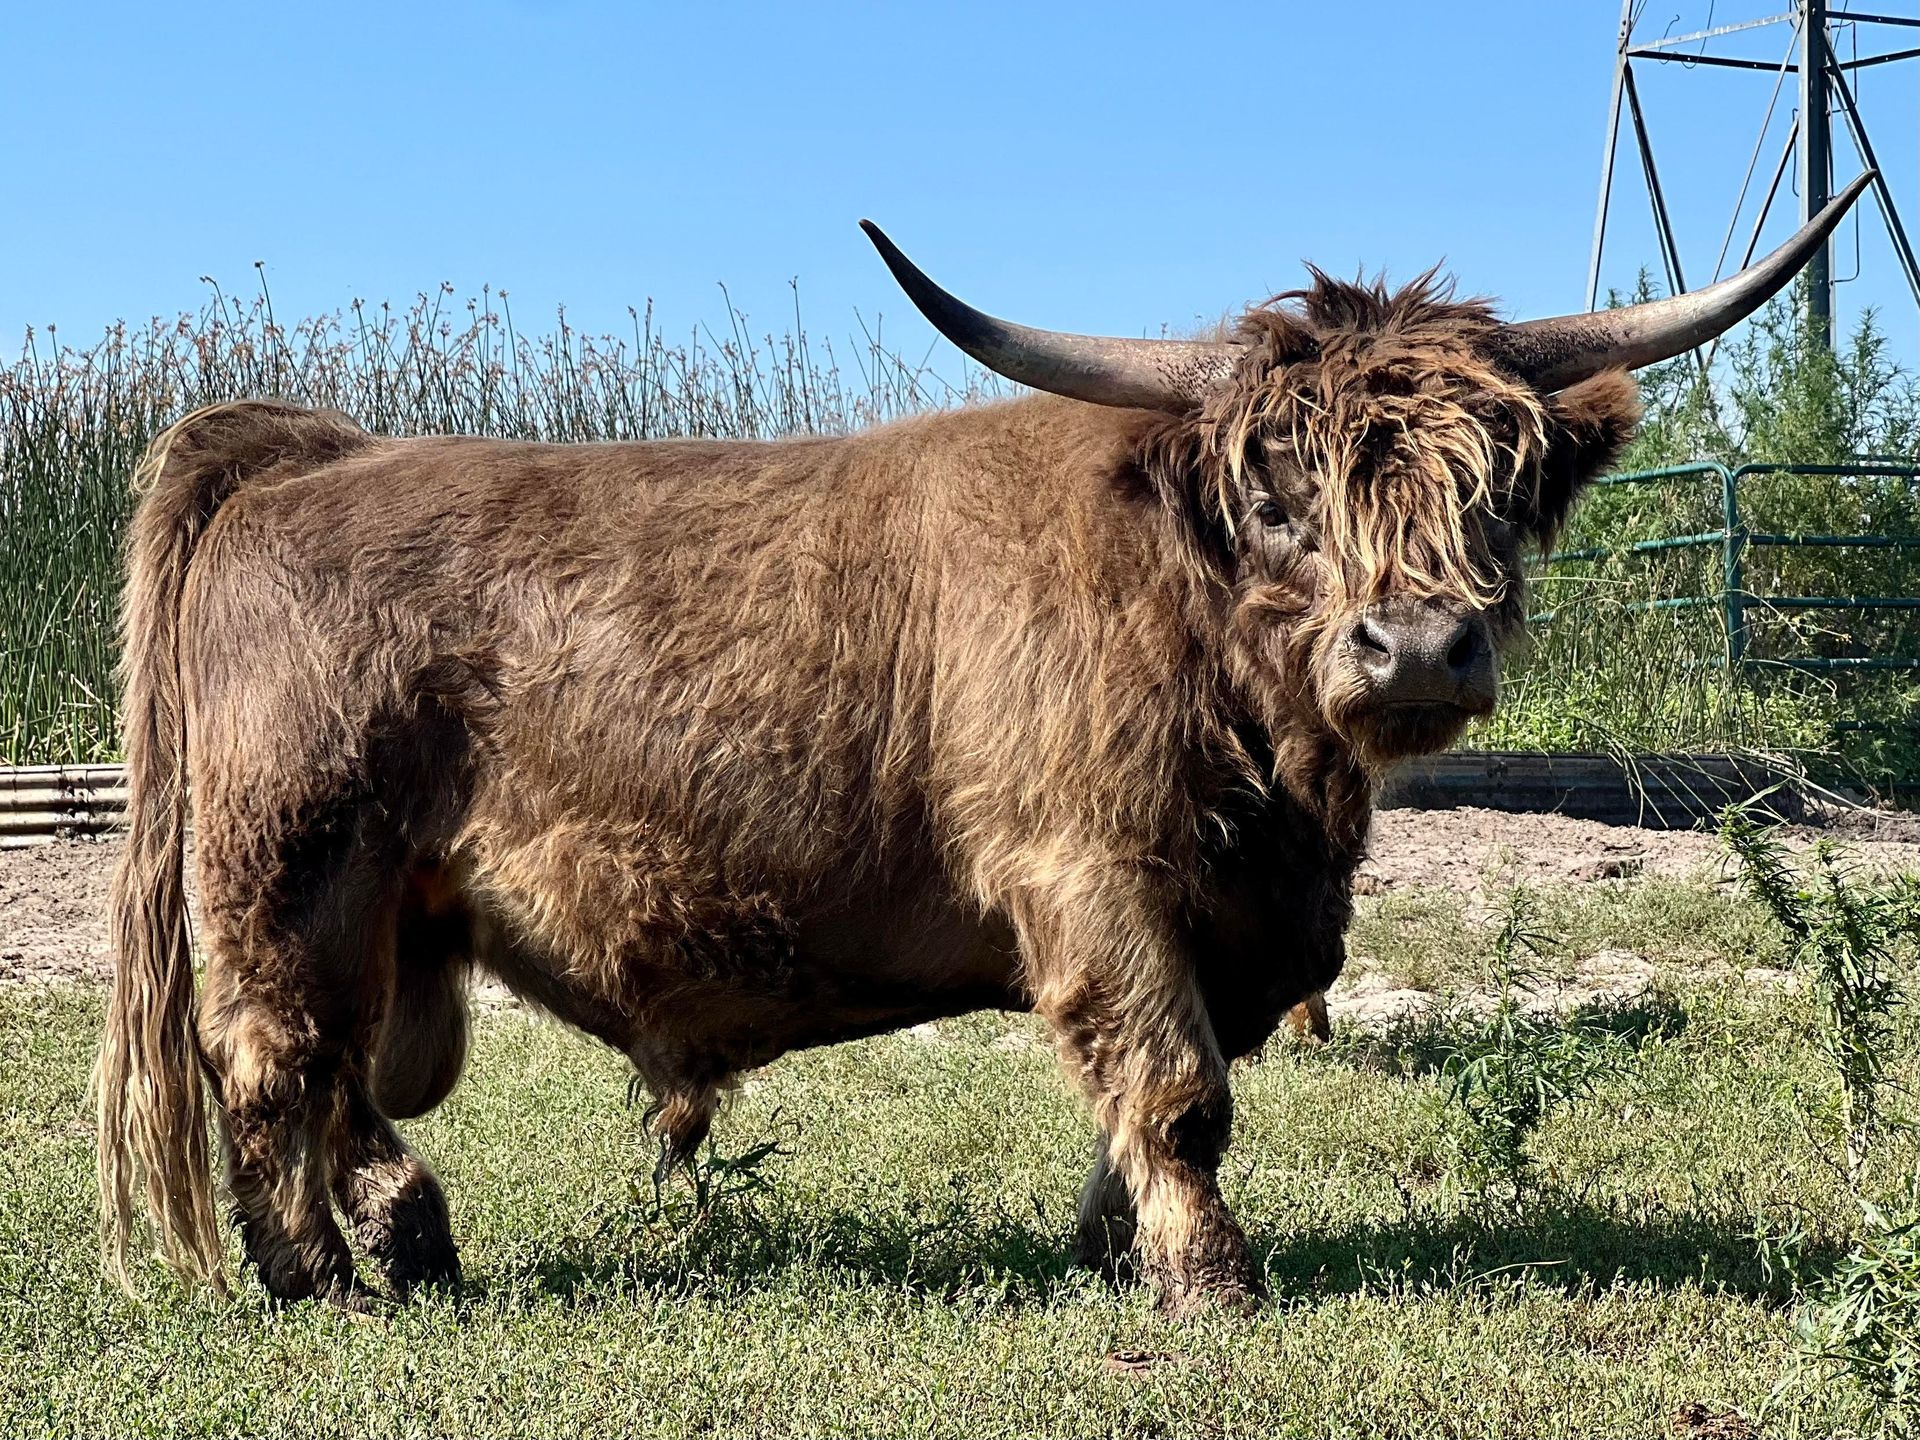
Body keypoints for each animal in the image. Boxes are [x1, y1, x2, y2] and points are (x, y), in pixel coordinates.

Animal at [97, 175, 1870, 1315]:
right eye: (1278, 489)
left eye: (1496, 484)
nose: (1421, 646)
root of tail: (306, 453)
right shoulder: (1090, 873)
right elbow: (1175, 1086)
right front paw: (1211, 1283)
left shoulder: (1238, 920)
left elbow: (1162, 1091)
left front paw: (1109, 1251)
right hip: (289, 871)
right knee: (273, 1067)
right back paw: (324, 1281)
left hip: (391, 911)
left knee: (344, 1088)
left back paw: (413, 1242)